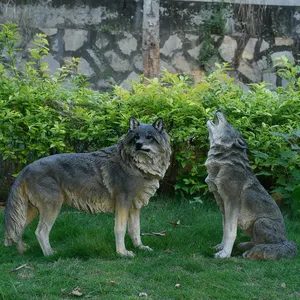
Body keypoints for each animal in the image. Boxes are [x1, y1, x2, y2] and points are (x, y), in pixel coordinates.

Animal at [4, 117, 171, 258]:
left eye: (149, 137)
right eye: (136, 137)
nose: (138, 144)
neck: (136, 166)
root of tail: (26, 168)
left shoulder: (134, 207)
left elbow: (135, 230)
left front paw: (140, 248)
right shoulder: (122, 203)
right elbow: (120, 229)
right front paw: (122, 253)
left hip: (34, 210)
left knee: (17, 229)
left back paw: (22, 251)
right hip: (52, 207)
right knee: (40, 232)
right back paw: (50, 255)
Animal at [205, 110, 296, 260]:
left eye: (229, 123)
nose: (220, 110)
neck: (222, 164)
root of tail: (286, 241)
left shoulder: (231, 202)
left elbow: (230, 231)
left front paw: (225, 254)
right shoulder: (222, 204)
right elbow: (224, 228)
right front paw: (221, 247)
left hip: (260, 222)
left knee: (269, 245)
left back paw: (250, 253)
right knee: (255, 242)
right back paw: (244, 246)